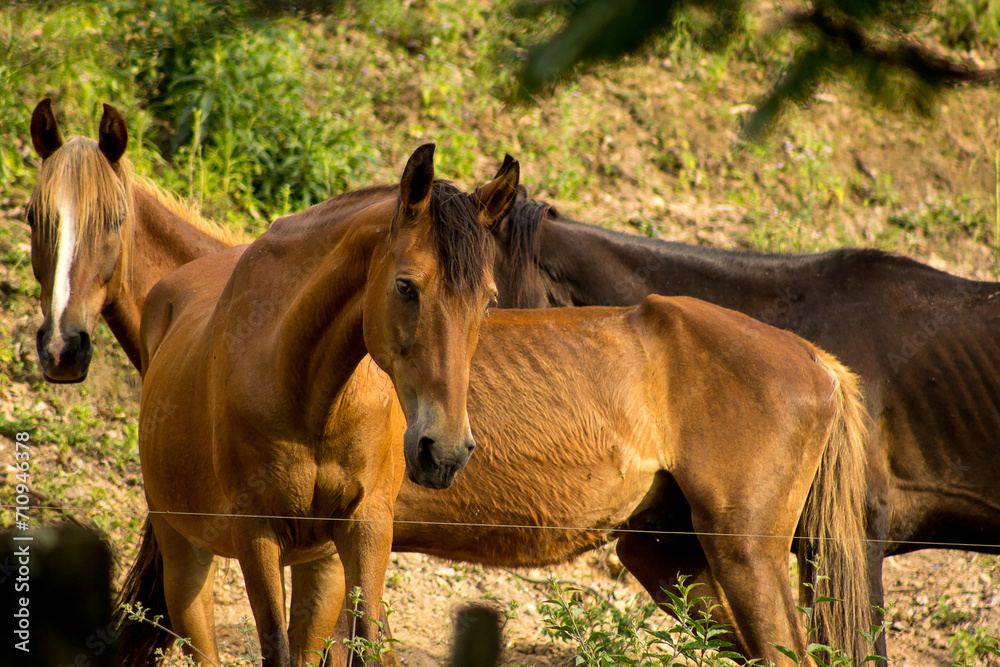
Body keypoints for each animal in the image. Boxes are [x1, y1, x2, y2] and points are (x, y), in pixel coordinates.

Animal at [117, 145, 520, 667]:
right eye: (406, 286)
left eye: (488, 300)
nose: (445, 452)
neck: (314, 398)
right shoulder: (257, 535)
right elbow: (275, 647)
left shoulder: (365, 529)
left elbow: (368, 641)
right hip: (184, 551)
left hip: (319, 566)